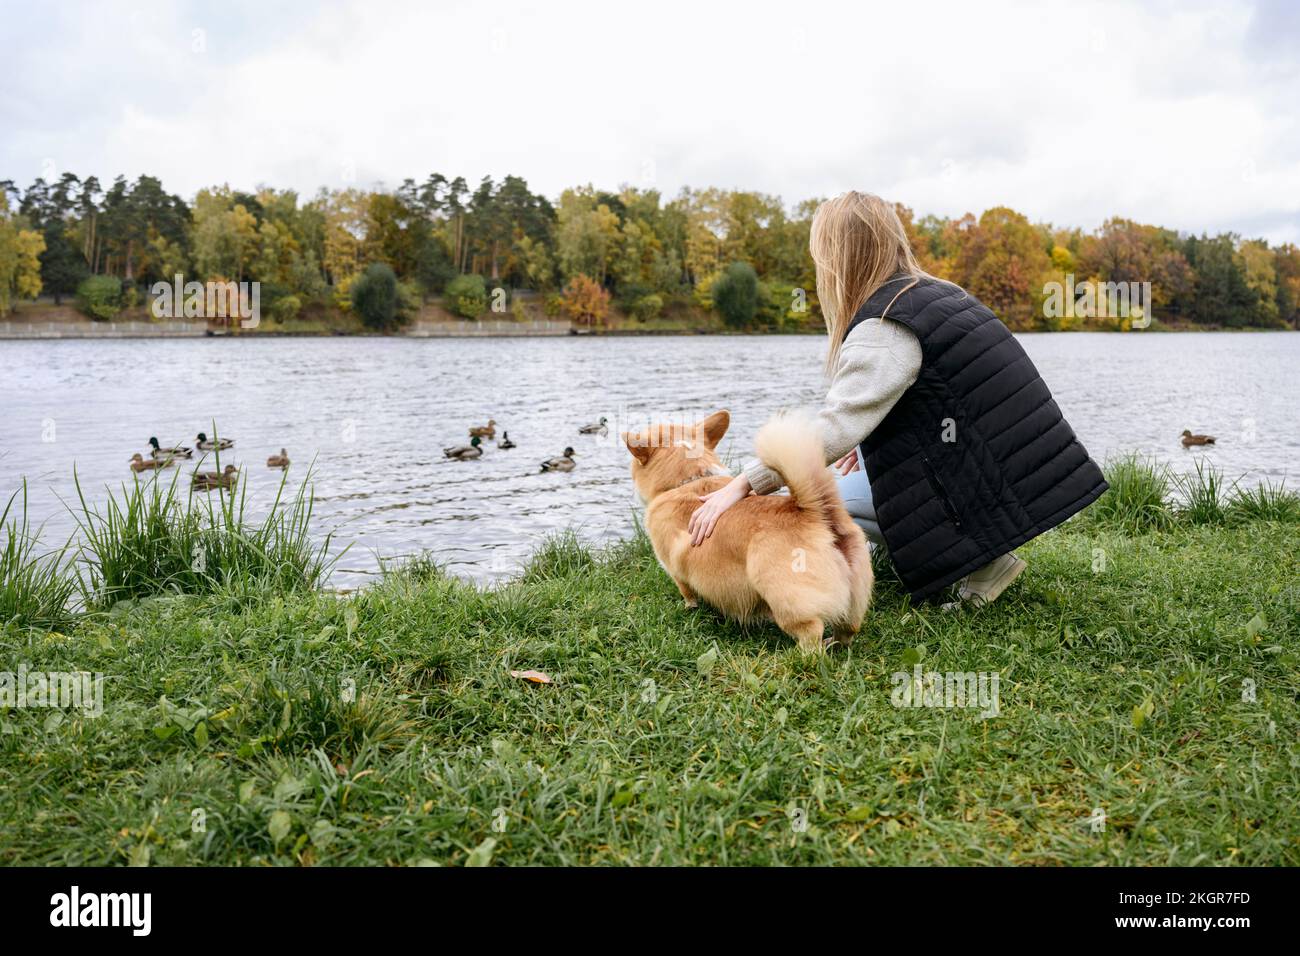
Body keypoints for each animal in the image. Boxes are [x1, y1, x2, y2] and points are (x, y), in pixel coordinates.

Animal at [621, 408, 868, 655]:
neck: (690, 479)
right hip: (854, 600)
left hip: (787, 599)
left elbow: (688, 593)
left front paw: (689, 608)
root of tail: (816, 515)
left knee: (811, 631)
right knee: (847, 630)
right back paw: (833, 643)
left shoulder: (677, 574)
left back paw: (800, 655)